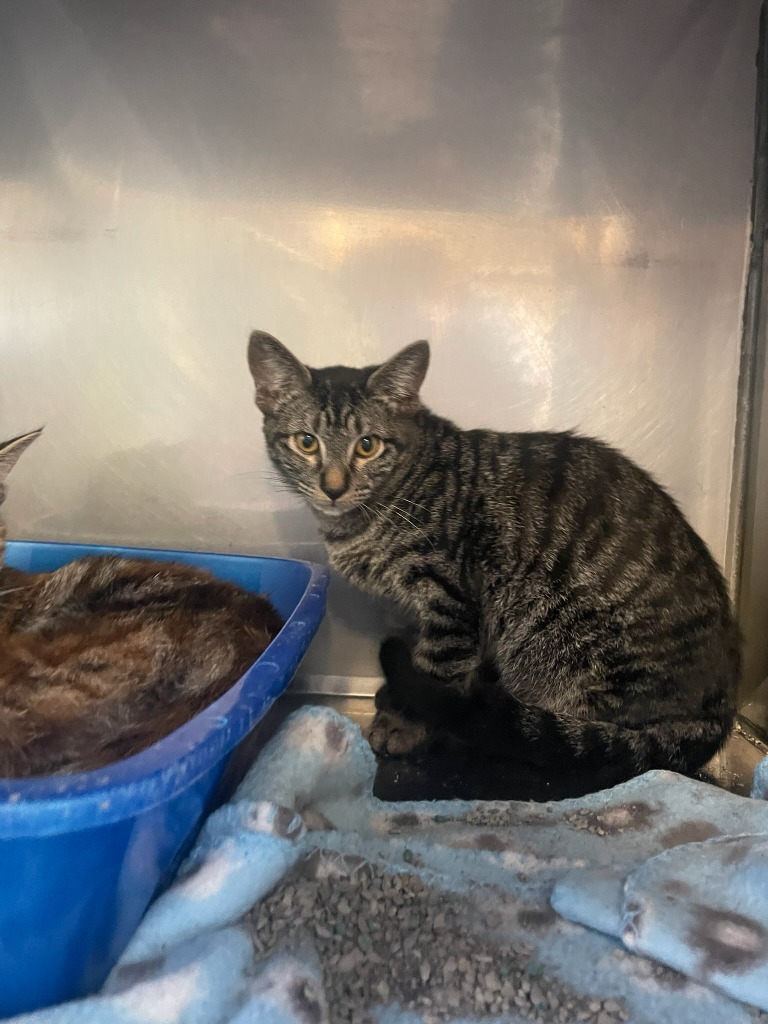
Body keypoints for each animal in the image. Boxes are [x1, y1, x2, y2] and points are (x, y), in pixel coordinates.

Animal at [249, 329, 741, 774]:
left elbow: (436, 668)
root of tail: (719, 708)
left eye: (367, 446)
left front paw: (406, 723)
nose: (333, 488)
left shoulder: (449, 600)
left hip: (553, 642)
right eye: (306, 442)